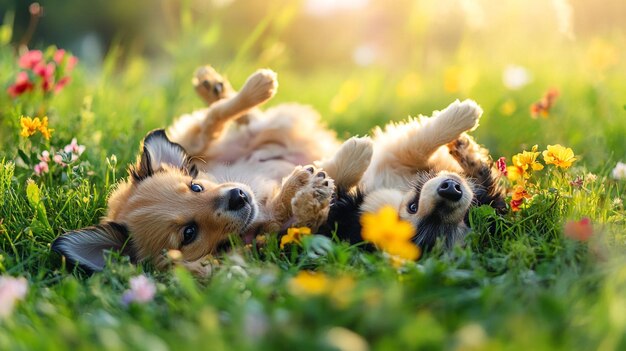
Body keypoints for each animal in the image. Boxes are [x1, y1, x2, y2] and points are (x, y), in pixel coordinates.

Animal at [52, 65, 370, 276]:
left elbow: (215, 119)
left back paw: (225, 85)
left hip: (205, 140)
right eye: (189, 233)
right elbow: (293, 211)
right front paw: (307, 187)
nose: (239, 196)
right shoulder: (272, 235)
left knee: (221, 120)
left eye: (196, 187)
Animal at [320, 99, 504, 250]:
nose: (451, 189)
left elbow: (417, 146)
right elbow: (416, 147)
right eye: (413, 208)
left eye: (465, 218)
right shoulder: (393, 163)